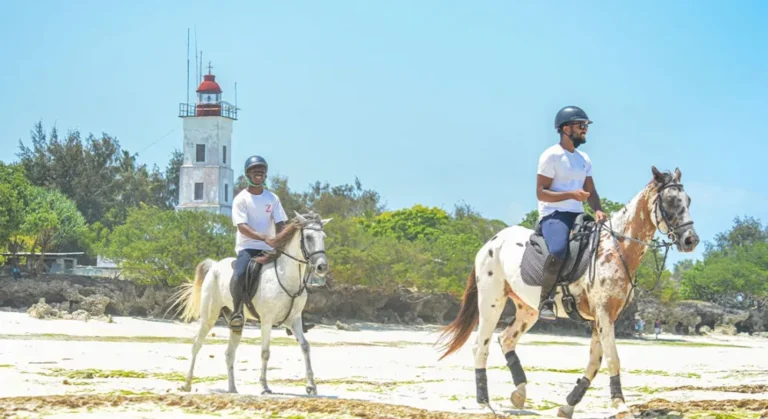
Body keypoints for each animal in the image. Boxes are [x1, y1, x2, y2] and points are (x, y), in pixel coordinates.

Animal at [169, 211, 332, 396]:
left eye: (323, 237)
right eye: (309, 237)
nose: (322, 267)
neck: (287, 277)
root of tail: (214, 266)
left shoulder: (294, 320)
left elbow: (305, 346)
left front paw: (311, 385)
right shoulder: (267, 321)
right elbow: (265, 352)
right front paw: (264, 386)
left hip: (236, 323)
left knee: (229, 353)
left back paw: (232, 388)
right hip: (209, 317)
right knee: (197, 344)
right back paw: (187, 384)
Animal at [436, 166, 699, 418]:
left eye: (688, 200)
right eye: (670, 201)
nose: (691, 240)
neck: (615, 249)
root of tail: (492, 241)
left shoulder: (604, 318)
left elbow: (594, 362)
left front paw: (568, 406)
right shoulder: (603, 315)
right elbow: (612, 359)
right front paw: (621, 406)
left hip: (528, 309)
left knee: (506, 339)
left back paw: (519, 394)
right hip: (492, 302)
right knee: (481, 345)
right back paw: (484, 404)